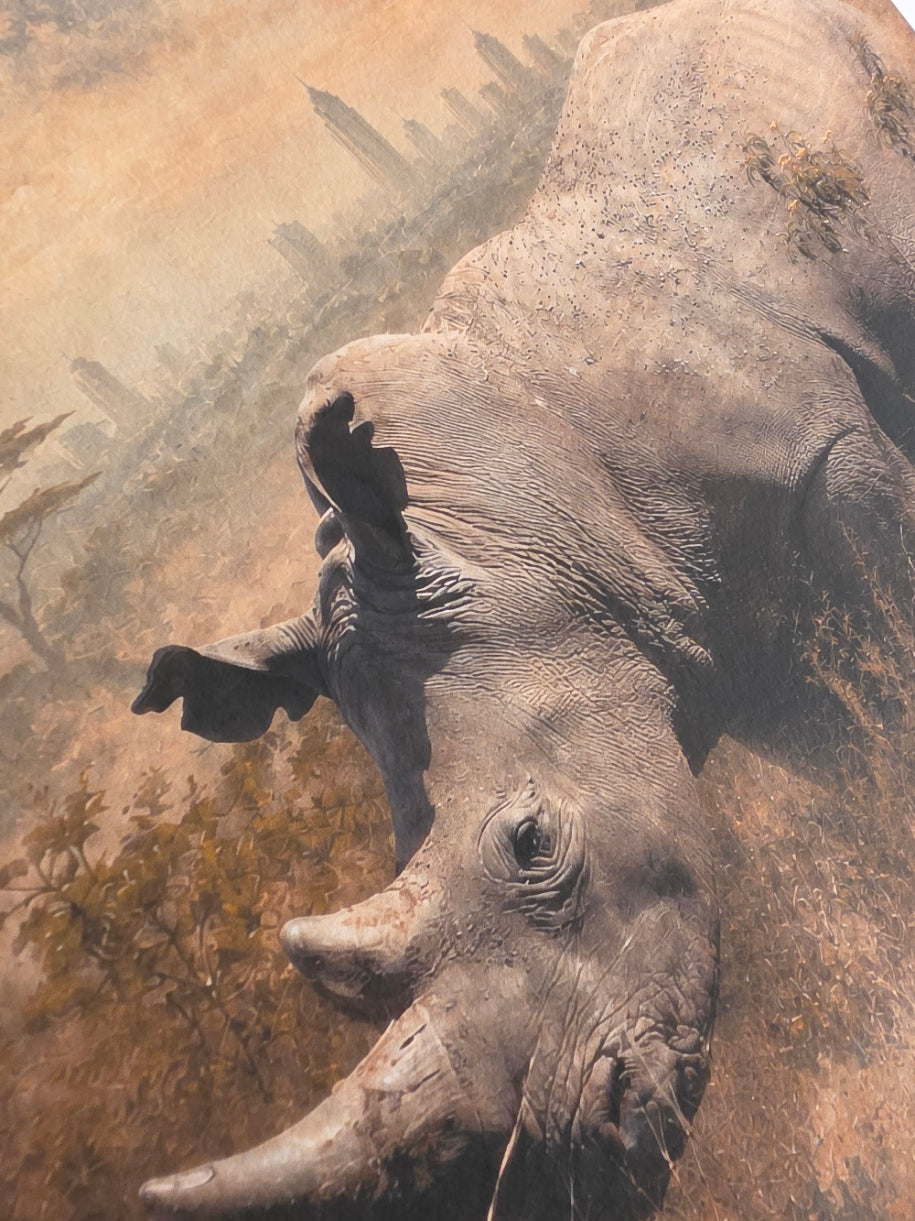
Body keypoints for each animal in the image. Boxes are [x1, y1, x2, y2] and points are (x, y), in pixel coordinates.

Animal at [132, 0, 915, 1215]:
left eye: (532, 840)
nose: (572, 1161)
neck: (518, 526)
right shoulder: (709, 632)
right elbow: (860, 739)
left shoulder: (823, 462)